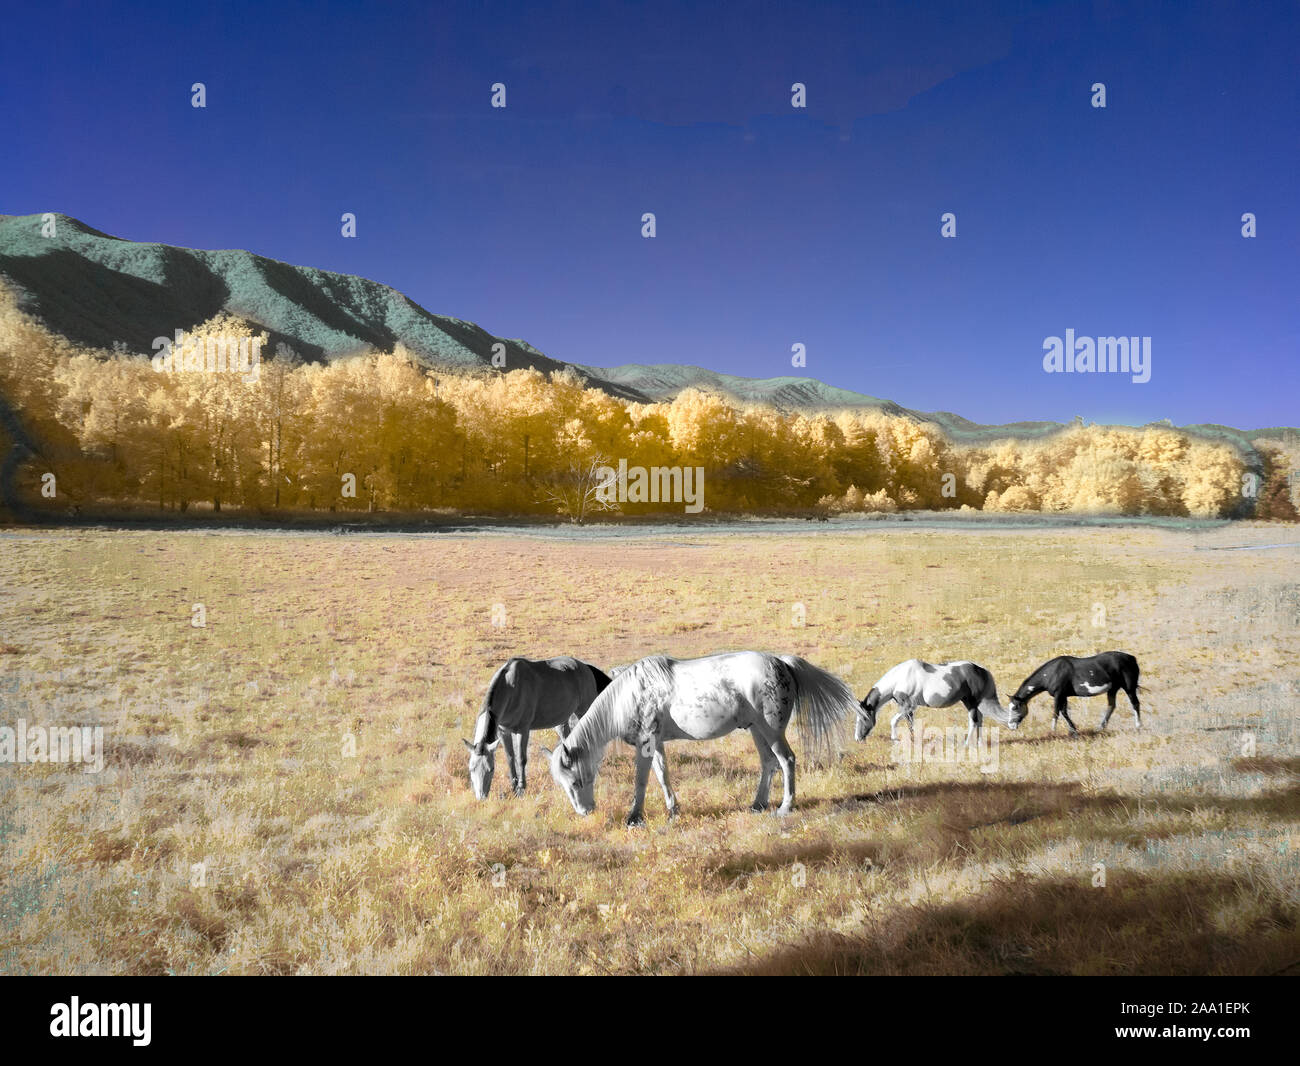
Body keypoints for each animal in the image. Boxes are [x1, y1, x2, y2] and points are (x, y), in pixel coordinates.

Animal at [465, 657, 611, 800]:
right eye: (471, 768)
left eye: (491, 769)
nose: (481, 797)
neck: (510, 687)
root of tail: (586, 667)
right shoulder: (503, 731)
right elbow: (510, 758)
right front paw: (513, 787)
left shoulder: (522, 730)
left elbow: (521, 759)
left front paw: (521, 789)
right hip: (562, 721)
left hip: (584, 711)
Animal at [543, 650, 857, 826]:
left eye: (576, 781)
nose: (585, 811)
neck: (631, 694)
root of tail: (781, 663)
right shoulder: (656, 744)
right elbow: (663, 775)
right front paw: (673, 810)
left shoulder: (646, 743)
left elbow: (641, 780)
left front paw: (635, 817)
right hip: (757, 729)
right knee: (768, 763)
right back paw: (757, 804)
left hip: (771, 730)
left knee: (787, 761)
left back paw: (784, 807)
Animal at [1003, 650, 1138, 733]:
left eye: (1015, 707)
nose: (1011, 725)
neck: (1053, 673)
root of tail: (1131, 658)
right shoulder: (1064, 696)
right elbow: (1064, 712)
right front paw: (1073, 730)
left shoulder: (1058, 695)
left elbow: (1056, 712)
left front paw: (1053, 731)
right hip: (1113, 689)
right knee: (1111, 706)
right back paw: (1100, 728)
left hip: (1129, 688)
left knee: (1135, 704)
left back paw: (1138, 726)